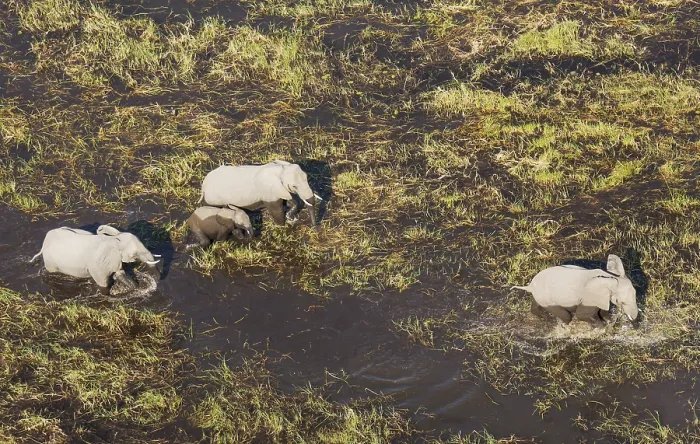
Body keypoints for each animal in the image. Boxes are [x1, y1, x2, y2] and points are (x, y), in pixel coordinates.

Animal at [29, 225, 161, 295]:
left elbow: (120, 273)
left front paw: (136, 288)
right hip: (50, 261)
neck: (114, 240)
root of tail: (44, 242)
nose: (157, 280)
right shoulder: (98, 264)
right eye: (135, 254)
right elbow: (103, 283)